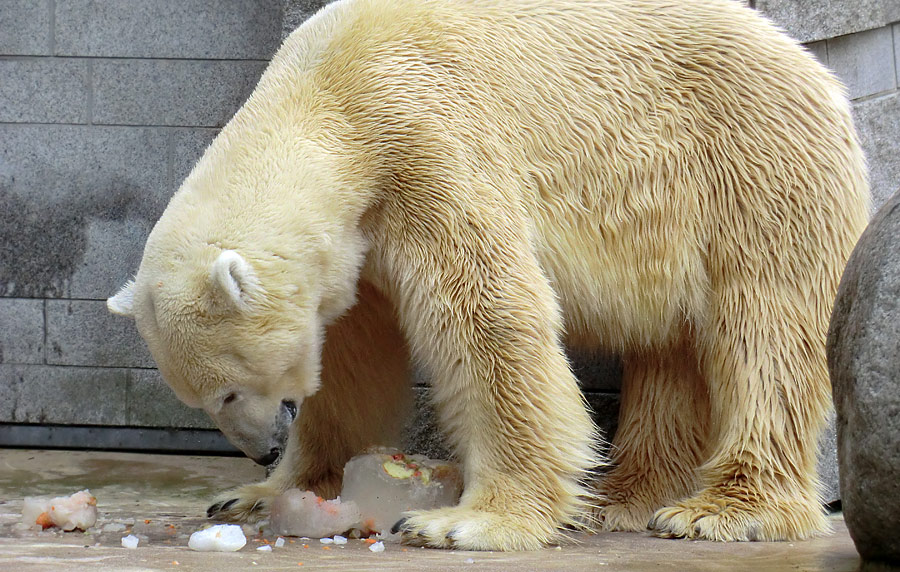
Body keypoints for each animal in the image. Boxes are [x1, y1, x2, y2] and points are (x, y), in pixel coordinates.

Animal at [109, 0, 868, 552]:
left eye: (229, 390)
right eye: (202, 396)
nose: (262, 451)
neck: (327, 89)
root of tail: (815, 71)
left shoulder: (425, 141)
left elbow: (486, 314)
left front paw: (464, 521)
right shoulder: (358, 235)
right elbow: (350, 365)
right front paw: (259, 496)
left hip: (748, 170)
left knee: (764, 333)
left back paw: (721, 509)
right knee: (670, 347)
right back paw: (623, 497)